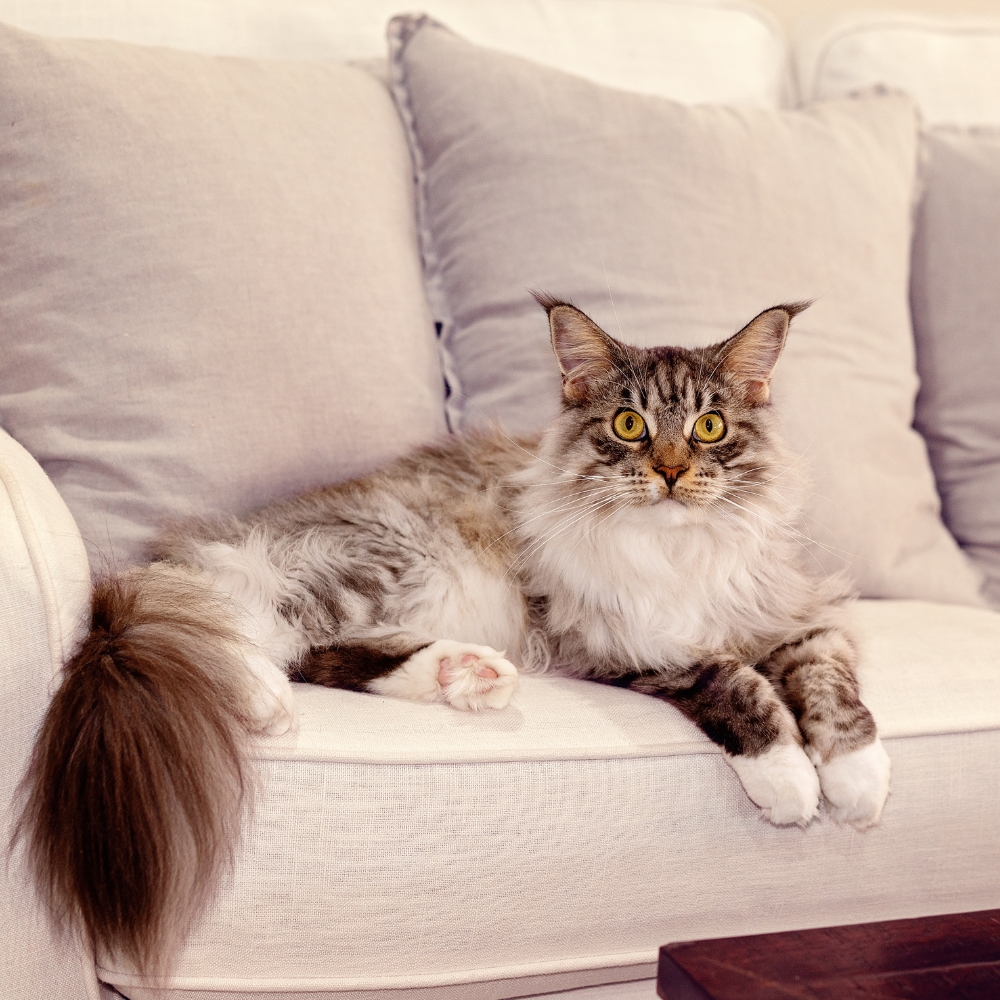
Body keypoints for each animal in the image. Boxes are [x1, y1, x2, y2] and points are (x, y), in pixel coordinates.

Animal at [13, 292, 892, 972]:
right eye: (628, 425)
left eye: (709, 428)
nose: (672, 471)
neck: (679, 552)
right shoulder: (621, 645)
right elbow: (734, 683)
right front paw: (789, 780)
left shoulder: (798, 614)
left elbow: (833, 691)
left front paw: (857, 785)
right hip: (384, 564)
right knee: (244, 625)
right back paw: (261, 697)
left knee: (317, 655)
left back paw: (465, 674)